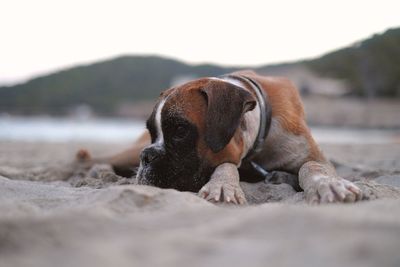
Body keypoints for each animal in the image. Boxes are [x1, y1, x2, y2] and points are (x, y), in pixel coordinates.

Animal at [77, 70, 362, 204]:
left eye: (180, 130)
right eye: (152, 132)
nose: (147, 155)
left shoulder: (313, 156)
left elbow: (312, 167)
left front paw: (328, 185)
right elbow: (226, 165)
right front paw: (223, 185)